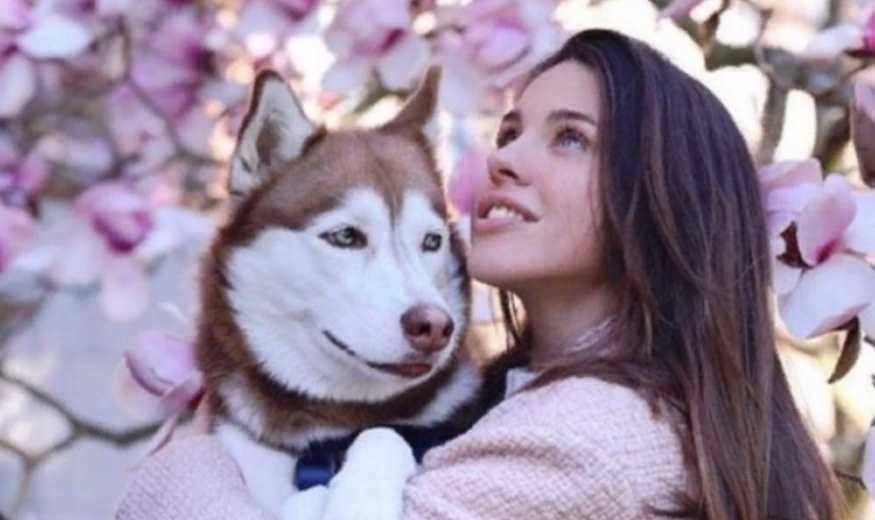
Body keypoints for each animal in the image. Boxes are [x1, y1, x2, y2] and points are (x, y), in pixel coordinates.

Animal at [195, 67, 492, 513]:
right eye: (346, 236)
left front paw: (355, 500)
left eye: (431, 241)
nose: (436, 327)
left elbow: (383, 433)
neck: (330, 435)